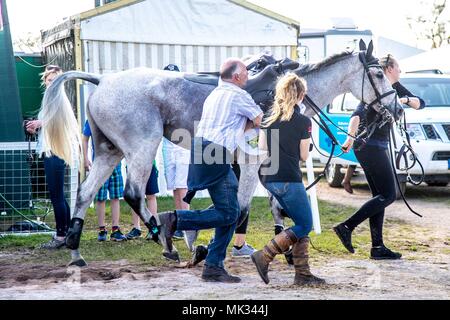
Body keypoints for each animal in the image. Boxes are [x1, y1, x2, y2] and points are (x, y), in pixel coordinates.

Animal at [40, 39, 400, 264]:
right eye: (377, 73)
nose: (395, 108)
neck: (283, 96)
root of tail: (101, 81)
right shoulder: (254, 162)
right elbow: (240, 209)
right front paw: (214, 245)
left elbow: (273, 206)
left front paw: (281, 246)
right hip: (142, 146)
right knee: (133, 193)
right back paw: (163, 238)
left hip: (108, 151)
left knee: (84, 194)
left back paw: (75, 252)